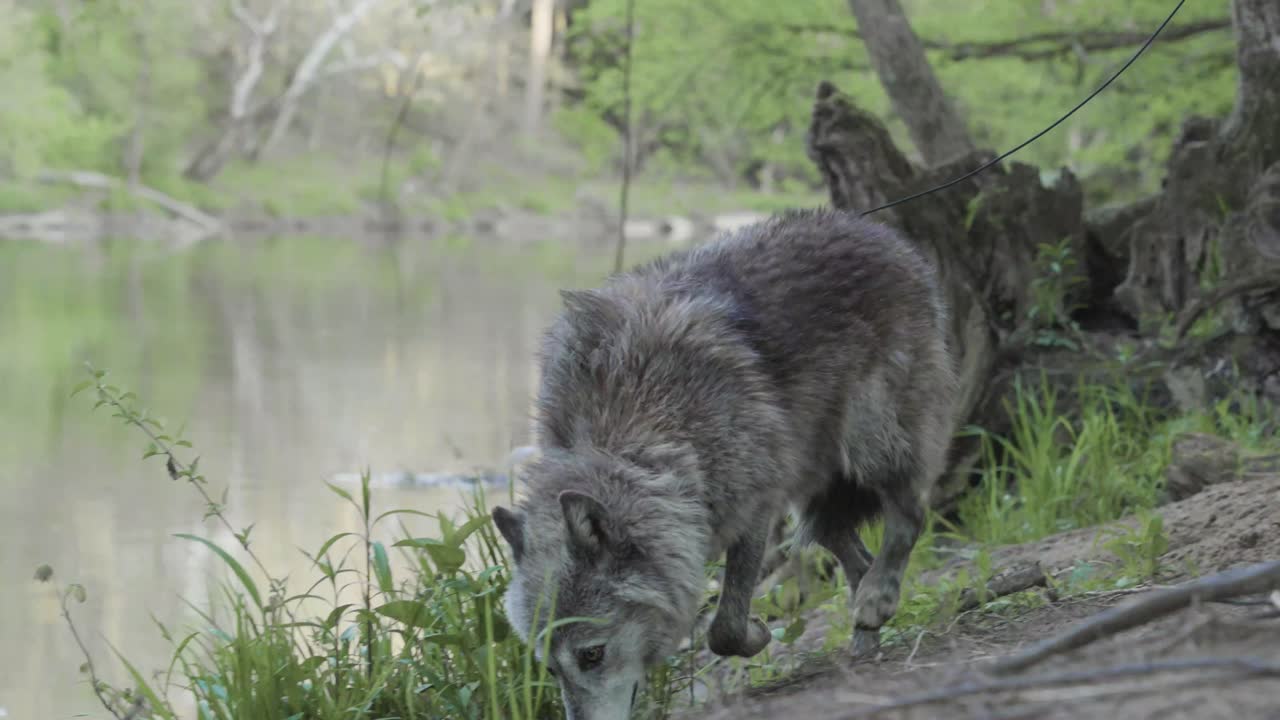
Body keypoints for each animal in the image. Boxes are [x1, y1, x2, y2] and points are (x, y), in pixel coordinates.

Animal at [491, 207, 956, 720]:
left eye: (592, 655)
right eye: (550, 669)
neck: (639, 435)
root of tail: (871, 228)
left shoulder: (754, 508)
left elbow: (725, 629)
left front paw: (755, 634)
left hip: (870, 447)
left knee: (910, 514)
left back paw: (877, 599)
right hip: (813, 492)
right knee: (853, 551)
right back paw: (867, 632)